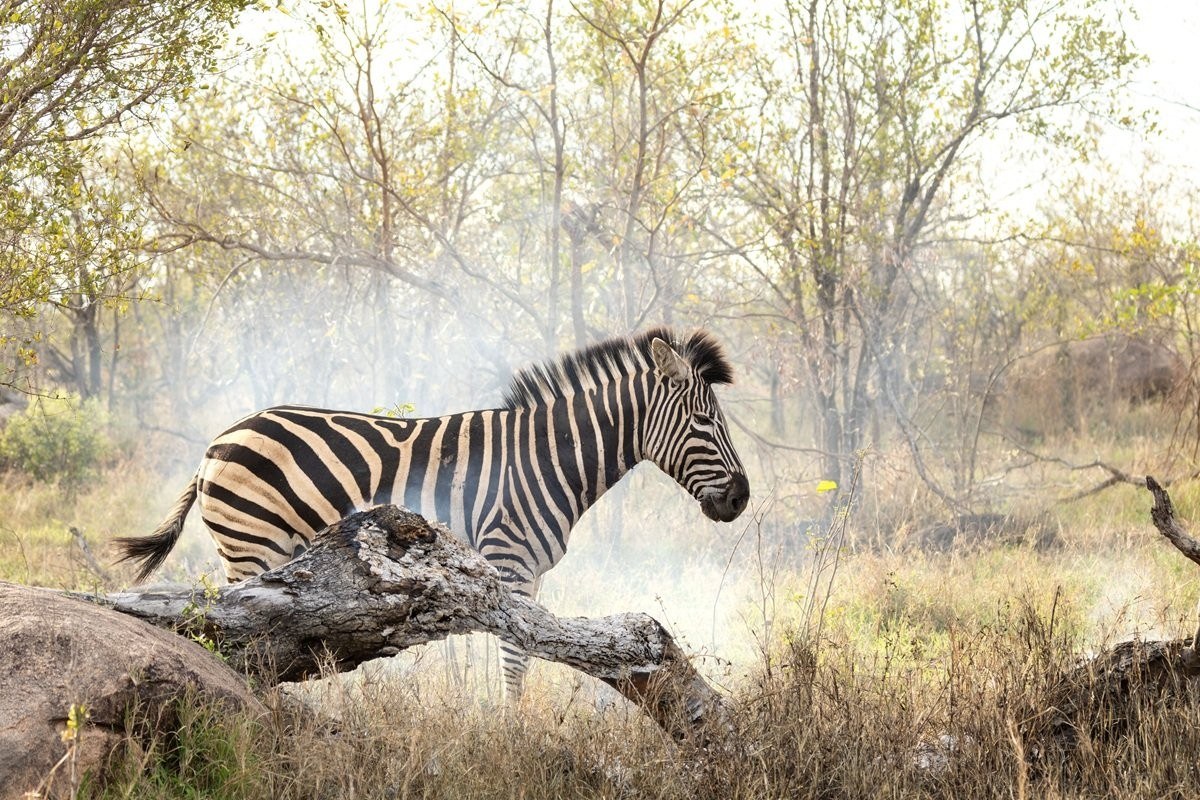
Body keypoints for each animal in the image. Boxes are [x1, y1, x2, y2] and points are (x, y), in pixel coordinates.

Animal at [116, 327, 750, 698]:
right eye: (703, 422)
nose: (741, 499)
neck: (547, 458)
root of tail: (218, 441)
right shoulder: (509, 564)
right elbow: (514, 663)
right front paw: (510, 737)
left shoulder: (527, 575)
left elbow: (526, 656)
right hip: (252, 544)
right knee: (240, 636)